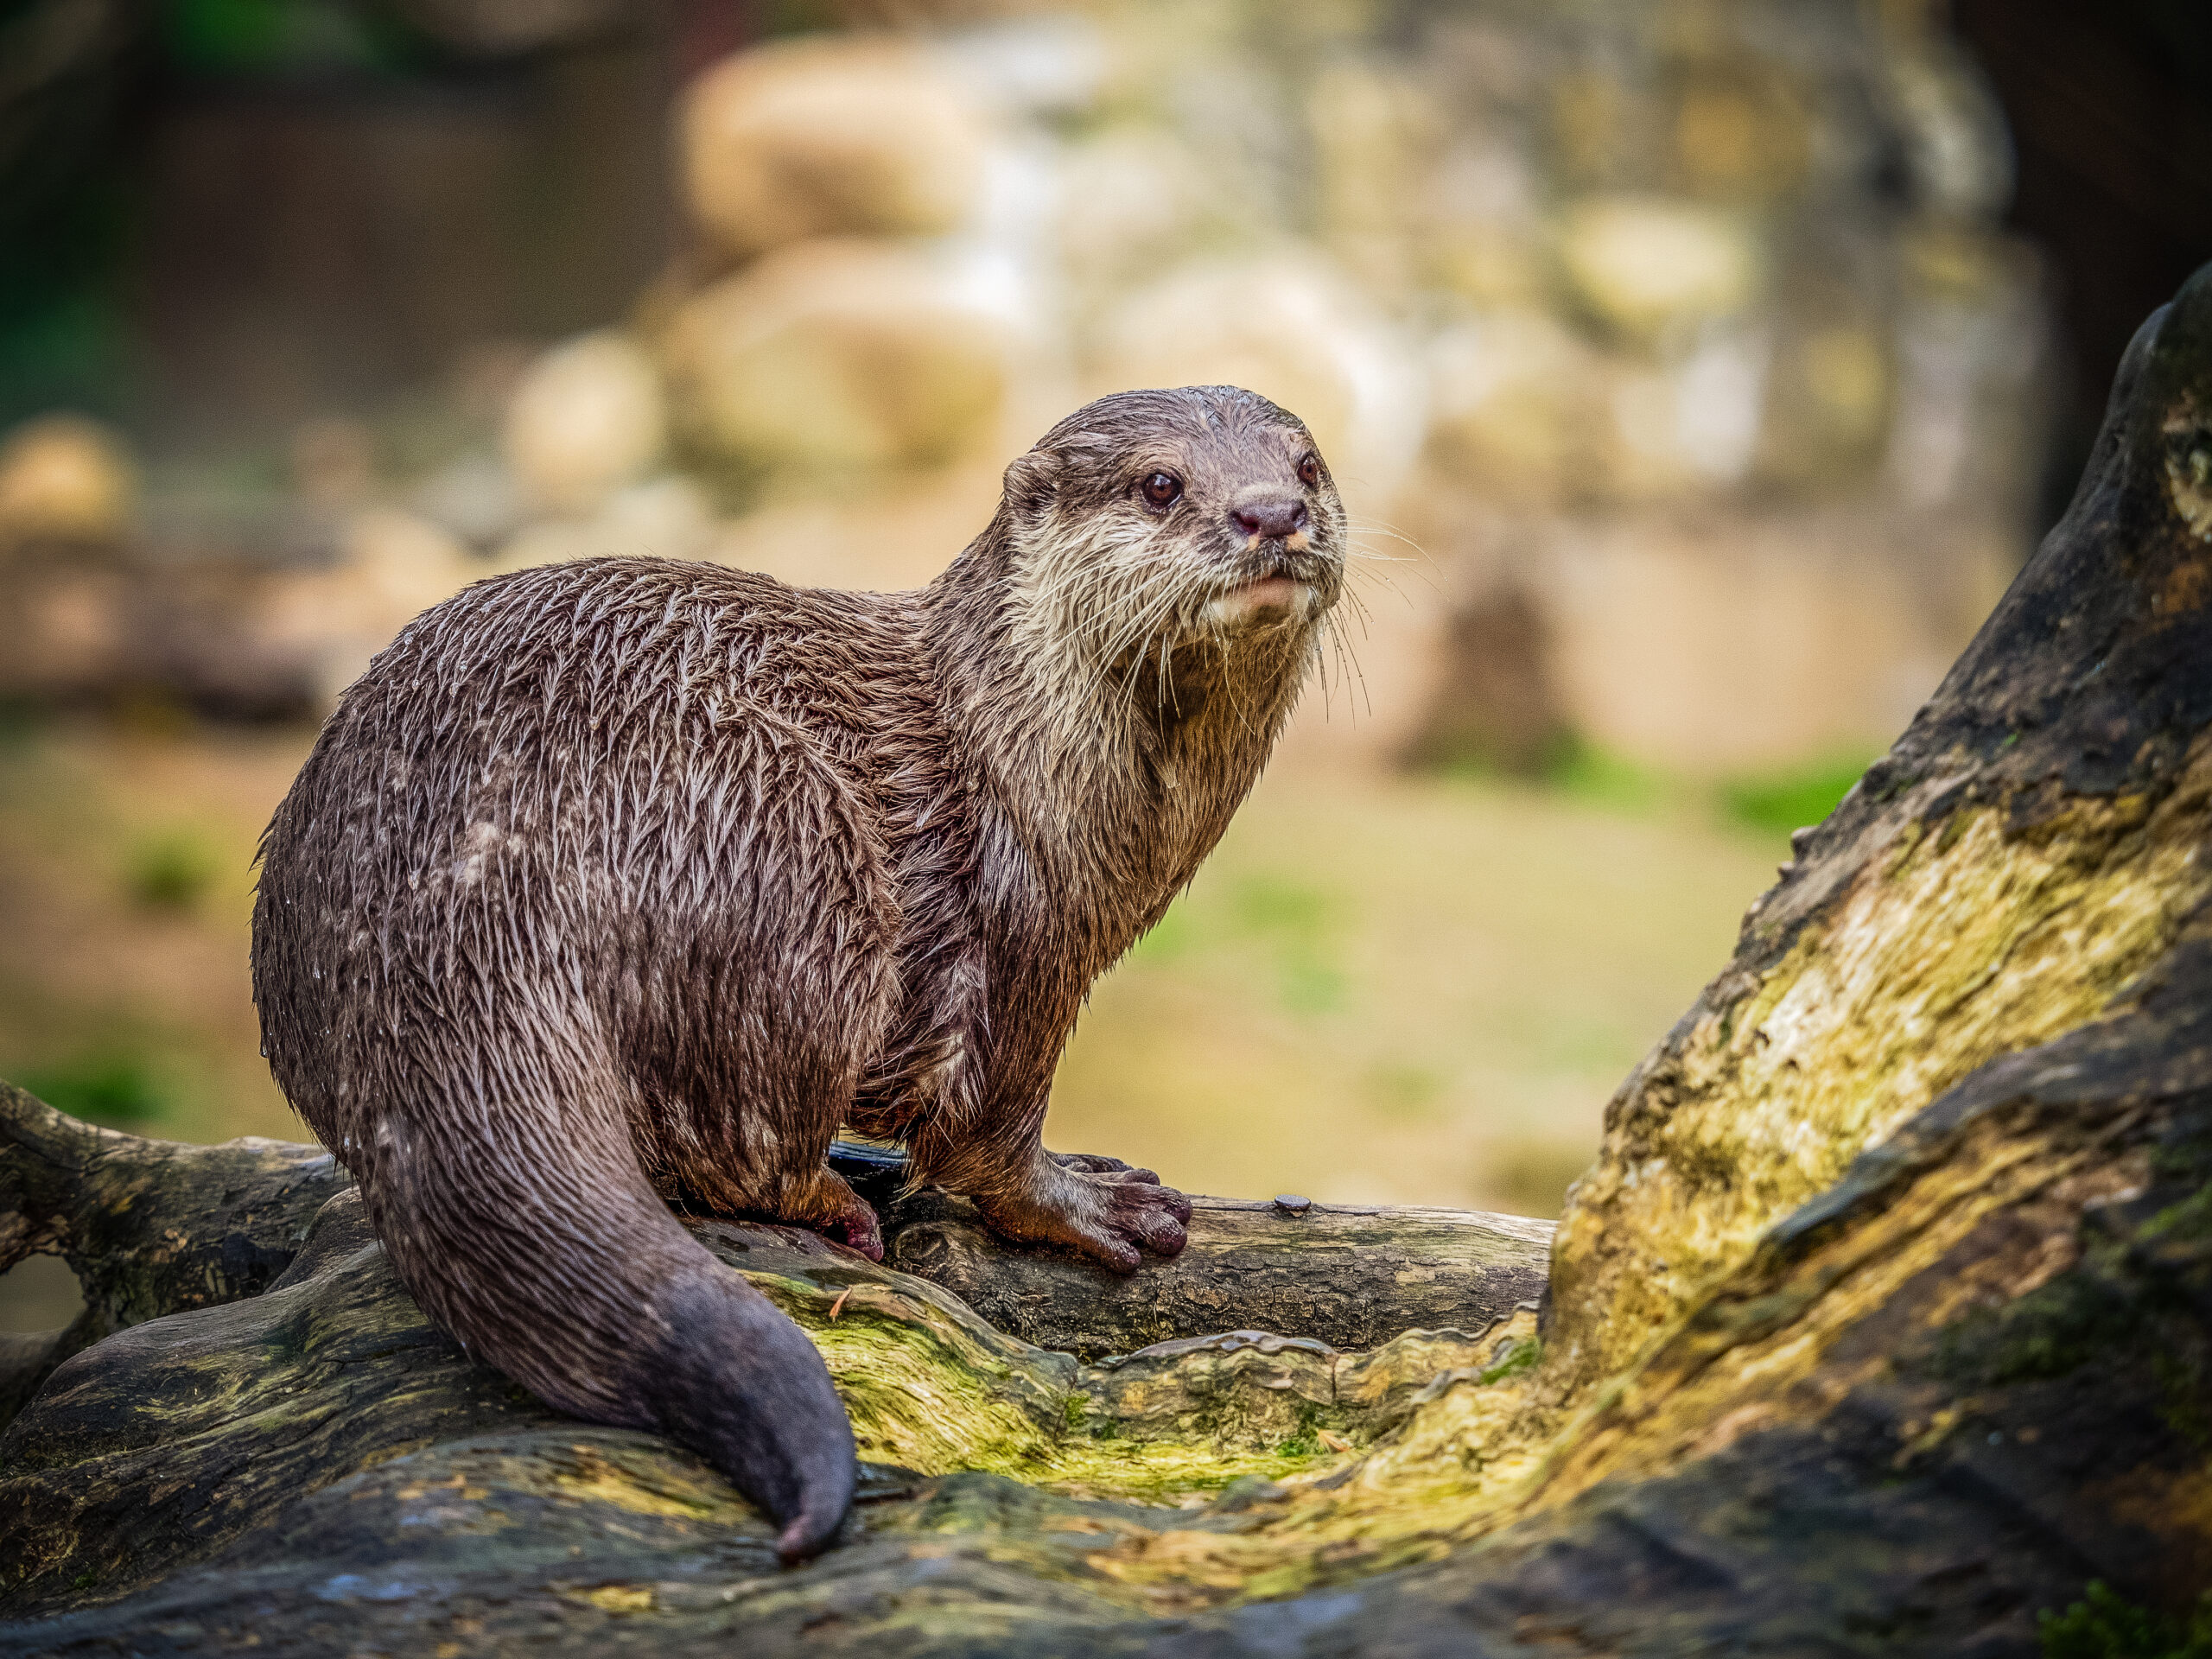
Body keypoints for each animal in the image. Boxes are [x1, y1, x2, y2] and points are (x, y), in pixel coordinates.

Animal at [246, 387, 1344, 1557]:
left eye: (1307, 465)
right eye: (1161, 484)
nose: (1271, 513)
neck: (1022, 750)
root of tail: (449, 904)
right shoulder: (1025, 932)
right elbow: (989, 1130)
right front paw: (1088, 1203)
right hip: (787, 839)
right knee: (745, 1140)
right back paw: (831, 1201)